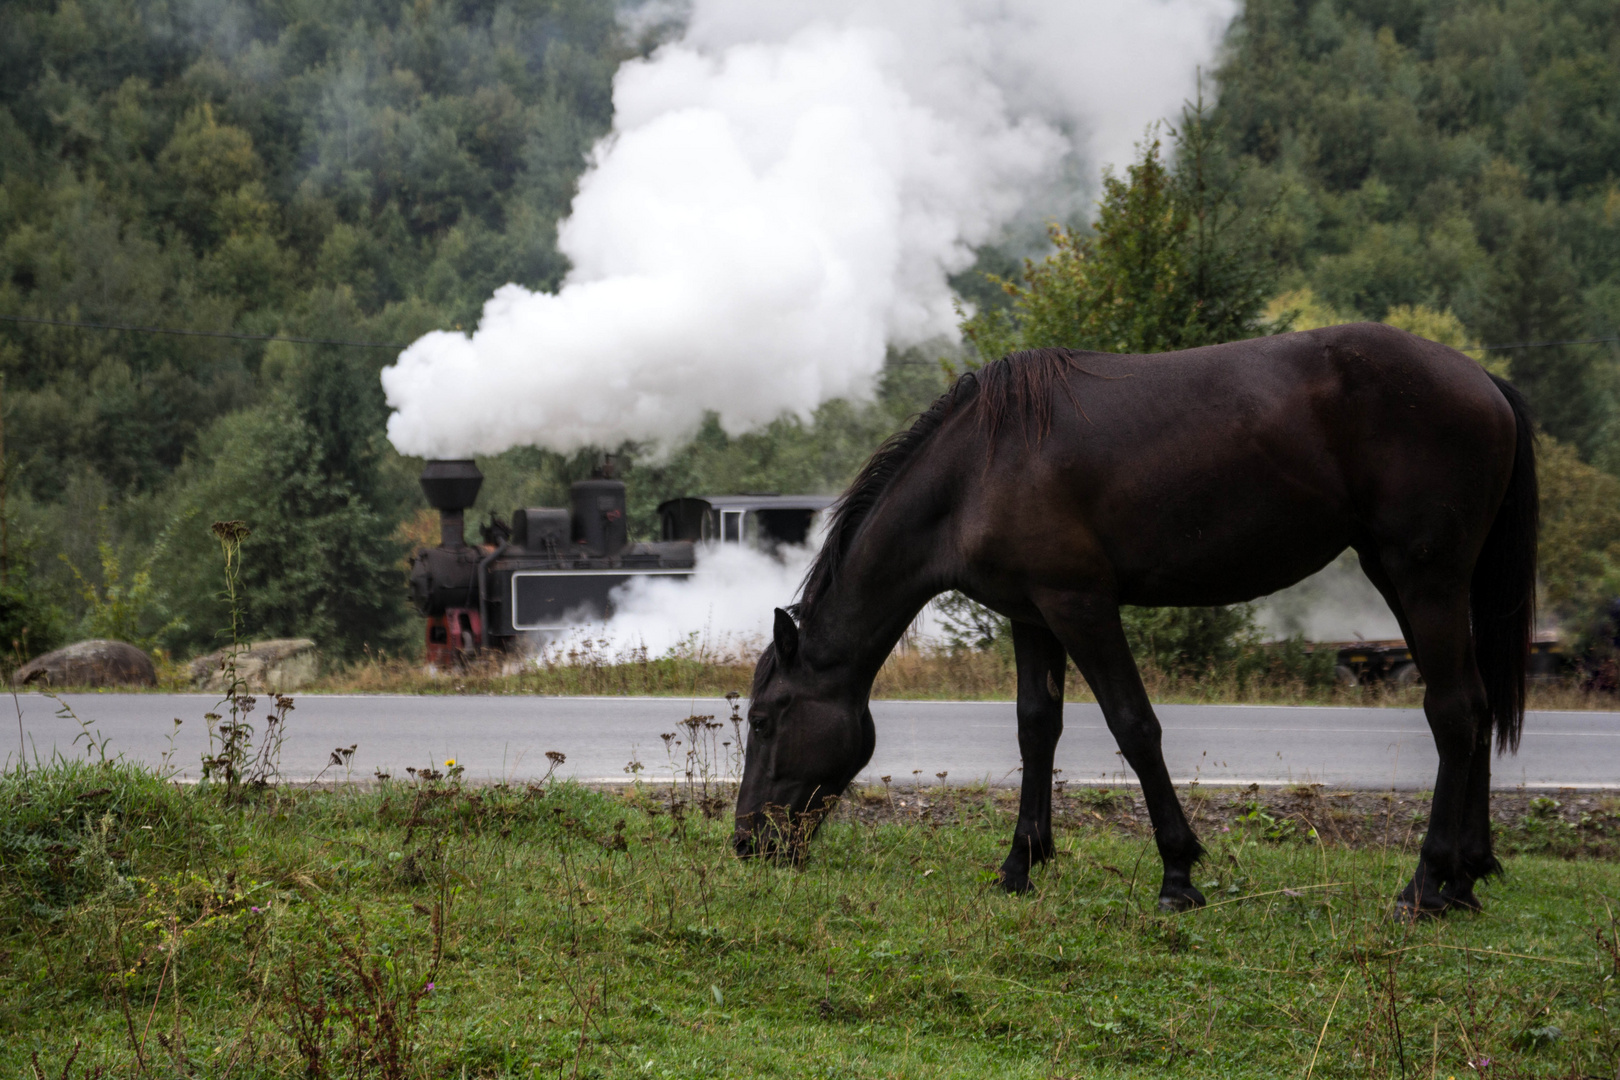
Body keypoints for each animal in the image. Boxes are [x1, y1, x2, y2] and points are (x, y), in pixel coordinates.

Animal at [735, 325, 1529, 919]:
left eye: (766, 720)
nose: (747, 843)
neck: (978, 471)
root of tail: (1482, 379)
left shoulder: (1080, 605)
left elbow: (1133, 725)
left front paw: (1178, 872)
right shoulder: (1032, 615)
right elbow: (1036, 728)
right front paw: (1019, 865)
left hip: (1423, 577)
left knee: (1453, 712)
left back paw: (1424, 883)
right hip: (1409, 578)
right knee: (1477, 704)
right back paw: (1464, 879)